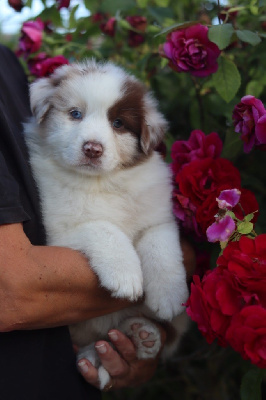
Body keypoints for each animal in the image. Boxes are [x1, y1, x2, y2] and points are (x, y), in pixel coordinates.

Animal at [23, 59, 189, 388]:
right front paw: (126, 274)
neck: (101, 181)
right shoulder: (57, 231)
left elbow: (160, 244)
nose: (92, 149)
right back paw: (95, 357)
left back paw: (142, 335)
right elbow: (103, 228)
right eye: (75, 114)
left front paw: (169, 295)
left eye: (119, 123)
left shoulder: (158, 215)